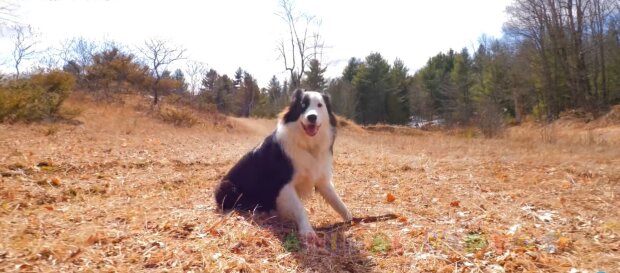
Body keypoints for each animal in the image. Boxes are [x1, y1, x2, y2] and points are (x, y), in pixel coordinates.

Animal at [214, 88, 352, 242]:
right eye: (302, 105)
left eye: (319, 105)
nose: (312, 117)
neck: (307, 145)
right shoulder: (284, 184)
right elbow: (300, 208)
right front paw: (307, 231)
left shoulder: (322, 179)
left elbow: (338, 201)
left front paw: (351, 219)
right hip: (227, 186)